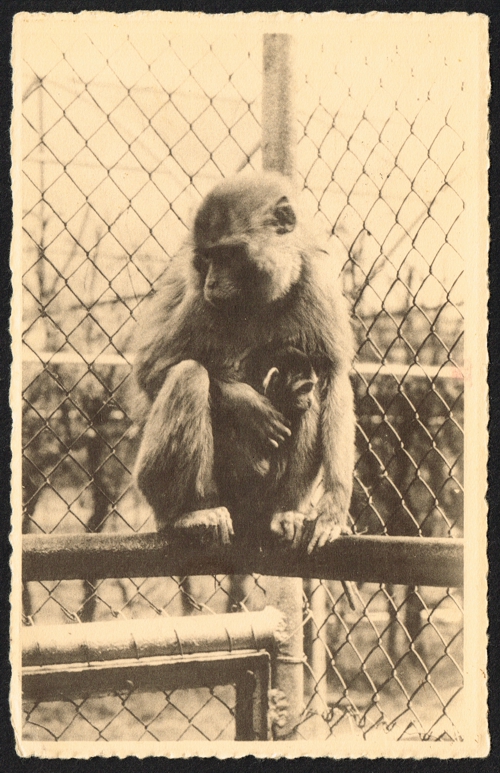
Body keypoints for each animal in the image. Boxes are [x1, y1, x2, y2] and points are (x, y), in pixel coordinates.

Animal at [133, 172, 355, 553]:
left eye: (228, 255)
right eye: (207, 258)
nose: (212, 282)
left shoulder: (314, 280)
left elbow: (334, 377)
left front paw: (333, 510)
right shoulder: (200, 300)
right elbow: (153, 370)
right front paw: (247, 404)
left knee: (311, 399)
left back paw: (283, 513)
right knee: (189, 375)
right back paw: (185, 514)